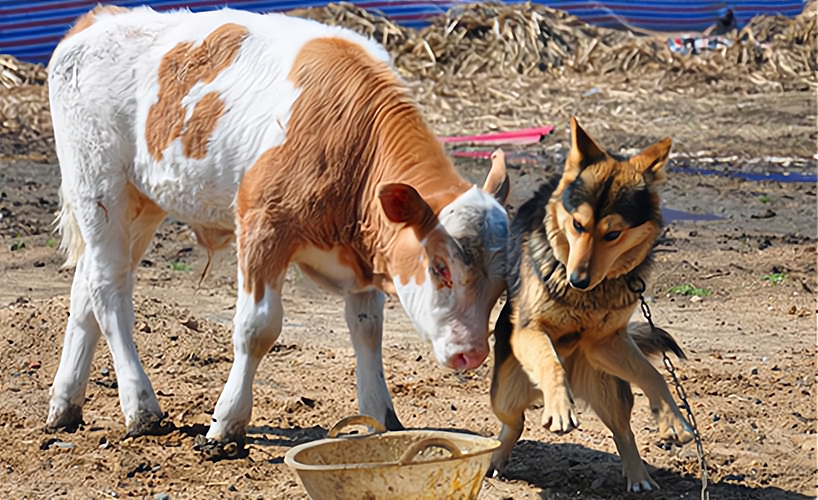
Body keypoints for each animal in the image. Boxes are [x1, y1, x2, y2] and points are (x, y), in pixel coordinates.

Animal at [46, 5, 510, 446]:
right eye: (440, 268)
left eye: (502, 285)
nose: (470, 355)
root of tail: (100, 19)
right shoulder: (262, 226)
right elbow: (257, 328)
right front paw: (226, 426)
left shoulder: (363, 250)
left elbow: (368, 329)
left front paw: (381, 418)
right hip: (99, 188)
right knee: (108, 291)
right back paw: (140, 407)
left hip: (141, 204)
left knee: (87, 286)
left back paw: (65, 404)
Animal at [488, 117, 692, 492]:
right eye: (577, 225)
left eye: (613, 234)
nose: (577, 279)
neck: (588, 294)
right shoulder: (530, 331)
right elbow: (550, 362)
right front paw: (560, 407)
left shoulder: (605, 343)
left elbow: (654, 374)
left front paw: (673, 420)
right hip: (505, 392)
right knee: (514, 422)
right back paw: (495, 460)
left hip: (610, 386)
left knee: (623, 430)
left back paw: (639, 477)